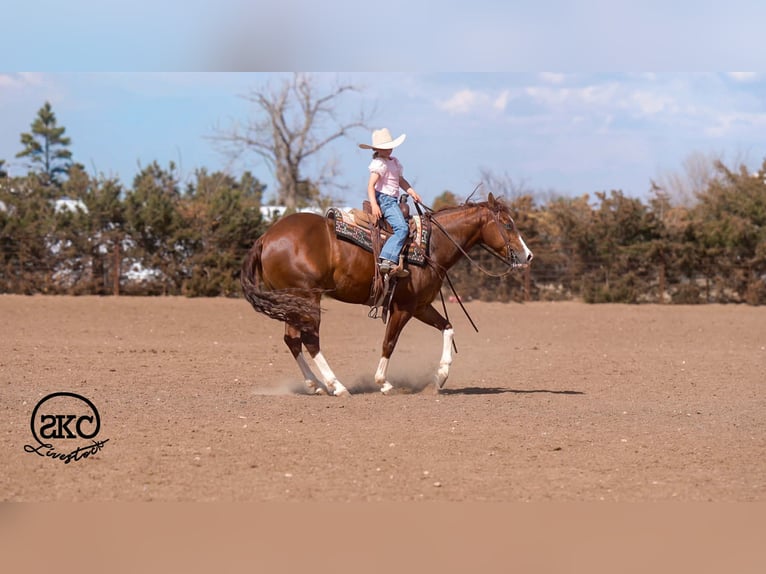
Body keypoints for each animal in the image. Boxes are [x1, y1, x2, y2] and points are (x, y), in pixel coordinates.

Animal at [240, 192, 533, 396]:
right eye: (507, 224)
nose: (528, 255)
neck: (431, 245)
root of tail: (265, 237)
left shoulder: (420, 305)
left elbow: (448, 327)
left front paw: (440, 377)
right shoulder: (402, 308)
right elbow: (388, 342)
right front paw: (383, 383)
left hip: (293, 302)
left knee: (292, 340)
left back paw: (316, 385)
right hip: (307, 298)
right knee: (310, 340)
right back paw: (336, 385)